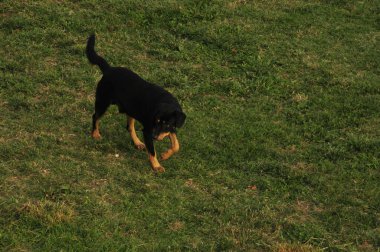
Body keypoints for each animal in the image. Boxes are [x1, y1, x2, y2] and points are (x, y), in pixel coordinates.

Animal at [86, 34, 187, 173]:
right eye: (156, 121)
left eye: (166, 124)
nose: (154, 137)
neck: (166, 101)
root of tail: (109, 69)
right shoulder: (148, 130)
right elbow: (152, 151)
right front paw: (156, 166)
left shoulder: (172, 128)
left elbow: (176, 145)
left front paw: (165, 155)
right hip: (103, 102)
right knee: (95, 116)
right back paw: (95, 134)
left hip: (130, 109)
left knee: (129, 126)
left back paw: (138, 143)